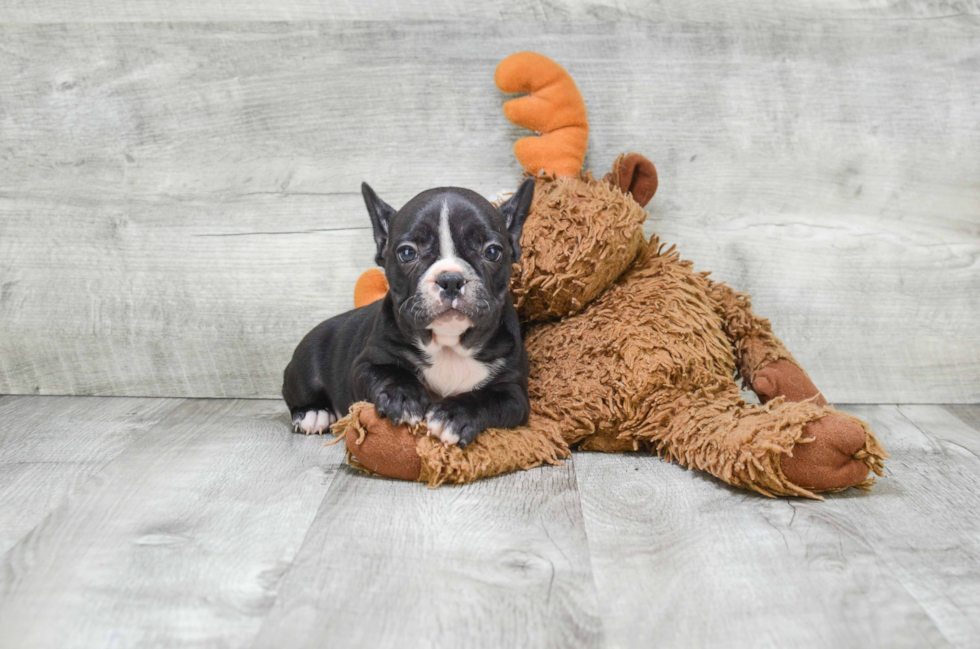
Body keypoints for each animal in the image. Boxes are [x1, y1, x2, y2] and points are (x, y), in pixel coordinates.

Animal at [280, 180, 536, 448]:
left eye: (493, 252)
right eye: (407, 253)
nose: (451, 279)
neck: (449, 346)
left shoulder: (514, 393)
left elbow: (486, 398)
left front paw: (454, 415)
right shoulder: (365, 364)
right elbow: (390, 373)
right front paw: (403, 398)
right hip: (305, 364)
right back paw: (313, 413)